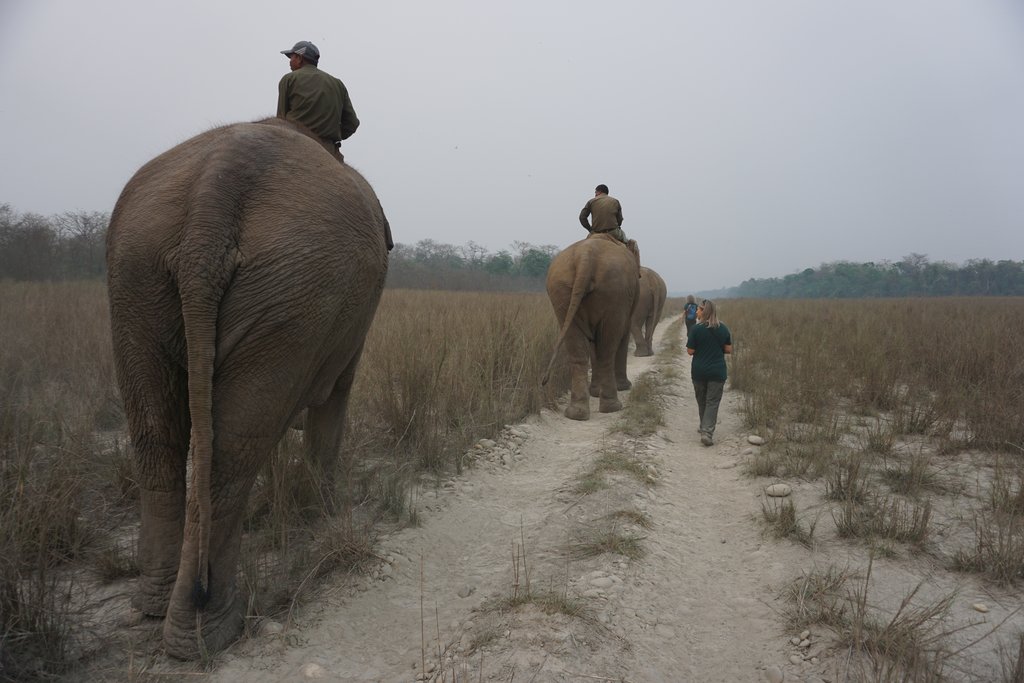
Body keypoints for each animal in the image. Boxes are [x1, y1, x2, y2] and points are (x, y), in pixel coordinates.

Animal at [105, 118, 390, 659]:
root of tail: (214, 192)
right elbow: (333, 399)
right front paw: (323, 514)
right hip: (295, 289)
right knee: (231, 452)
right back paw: (210, 631)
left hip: (141, 273)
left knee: (159, 437)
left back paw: (157, 607)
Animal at [542, 233, 641, 420]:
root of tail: (585, 256)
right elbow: (621, 334)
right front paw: (623, 387)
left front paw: (595, 392)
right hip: (615, 293)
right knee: (608, 347)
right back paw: (612, 407)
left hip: (561, 291)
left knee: (578, 349)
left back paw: (576, 413)